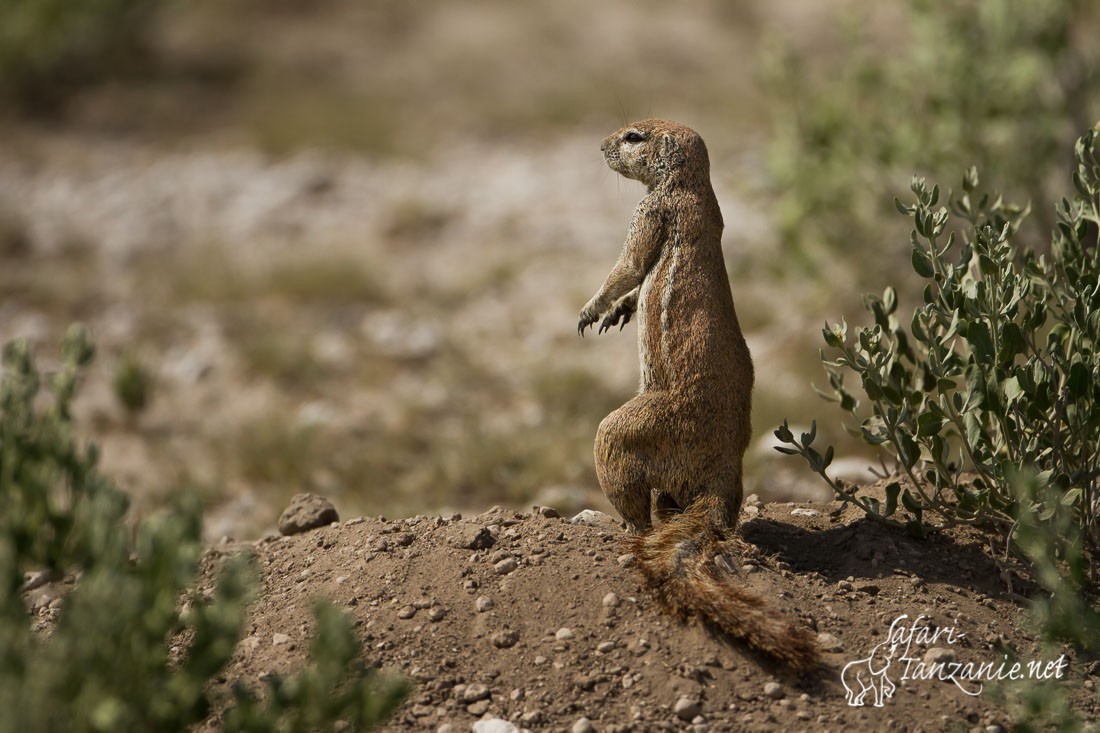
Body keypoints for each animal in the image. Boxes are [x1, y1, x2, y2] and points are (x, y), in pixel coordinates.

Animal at [585, 118, 818, 669]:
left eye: (633, 137)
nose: (599, 147)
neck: (690, 184)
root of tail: (722, 480)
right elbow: (630, 283)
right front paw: (618, 312)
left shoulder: (650, 215)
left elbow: (627, 265)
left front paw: (592, 308)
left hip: (628, 431)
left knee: (635, 505)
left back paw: (624, 527)